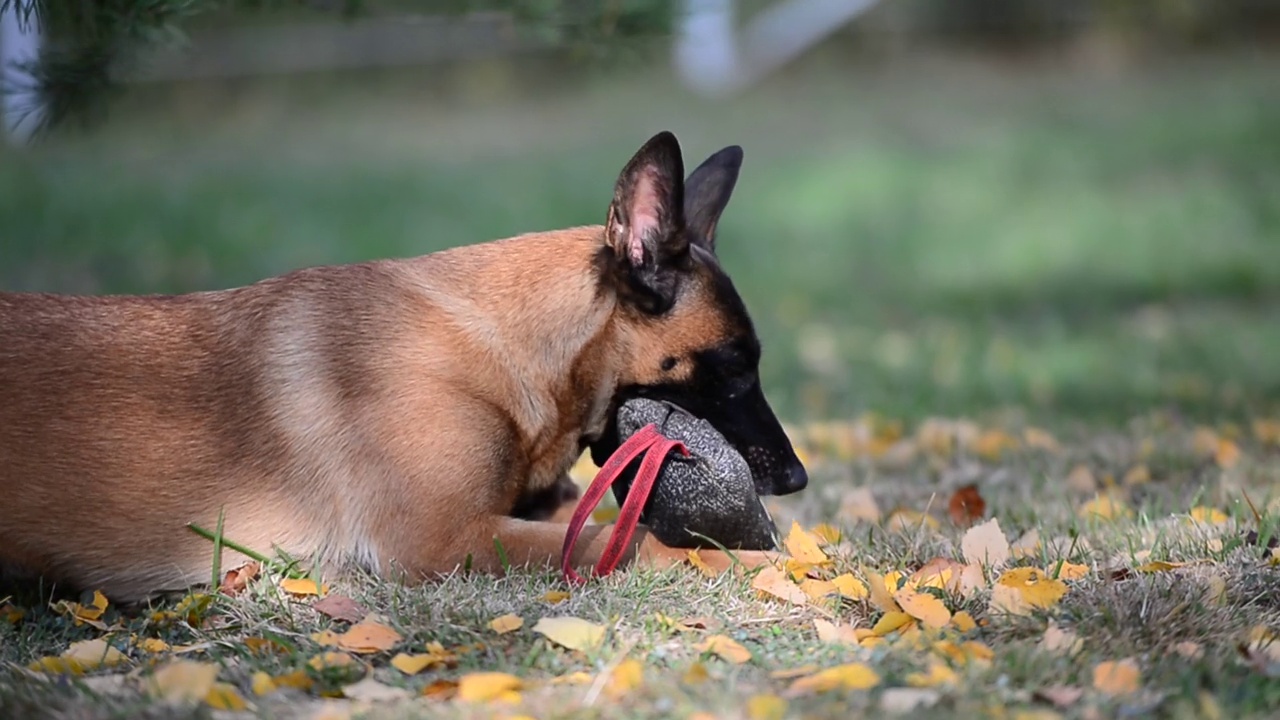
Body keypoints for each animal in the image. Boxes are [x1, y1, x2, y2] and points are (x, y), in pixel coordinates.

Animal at [0, 130, 803, 599]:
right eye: (735, 365)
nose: (797, 480)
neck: (506, 349)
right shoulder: (443, 541)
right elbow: (630, 536)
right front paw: (765, 561)